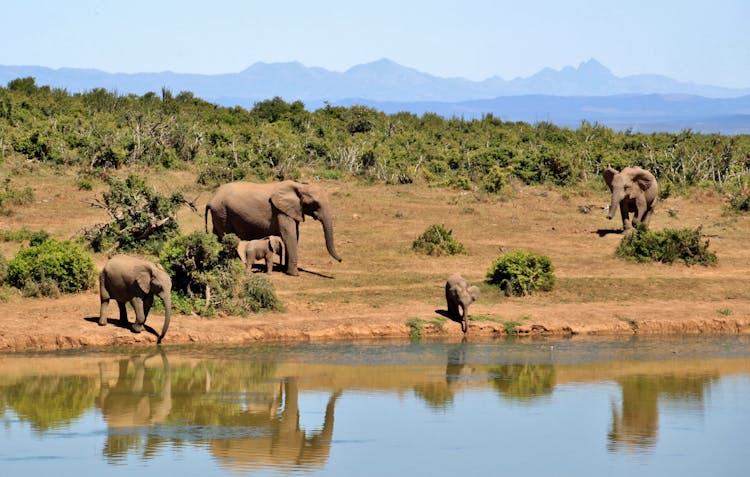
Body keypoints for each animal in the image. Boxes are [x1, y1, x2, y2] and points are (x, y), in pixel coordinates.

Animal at [207, 178, 346, 276]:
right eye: (314, 204)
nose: (341, 260)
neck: (299, 186)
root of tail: (212, 198)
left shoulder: (292, 210)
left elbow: (295, 235)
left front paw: (286, 270)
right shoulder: (280, 211)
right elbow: (290, 236)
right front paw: (294, 274)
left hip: (219, 214)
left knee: (218, 237)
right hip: (222, 212)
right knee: (227, 238)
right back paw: (238, 264)